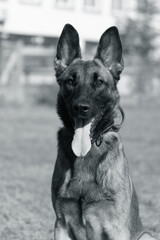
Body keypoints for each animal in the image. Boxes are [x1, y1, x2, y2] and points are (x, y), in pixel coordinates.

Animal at [51, 24, 156, 240]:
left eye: (99, 82)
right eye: (70, 81)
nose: (81, 107)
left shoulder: (116, 228)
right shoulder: (61, 224)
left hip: (146, 235)